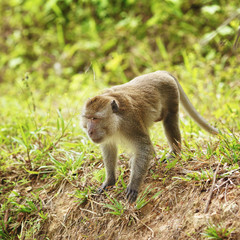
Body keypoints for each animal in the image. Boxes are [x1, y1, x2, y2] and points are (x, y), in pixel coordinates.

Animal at [81, 71, 218, 202]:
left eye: (95, 118)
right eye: (88, 118)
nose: (89, 131)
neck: (117, 121)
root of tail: (159, 73)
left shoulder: (131, 123)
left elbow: (143, 147)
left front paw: (134, 184)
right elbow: (109, 149)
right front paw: (110, 181)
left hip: (171, 92)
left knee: (169, 119)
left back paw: (174, 153)